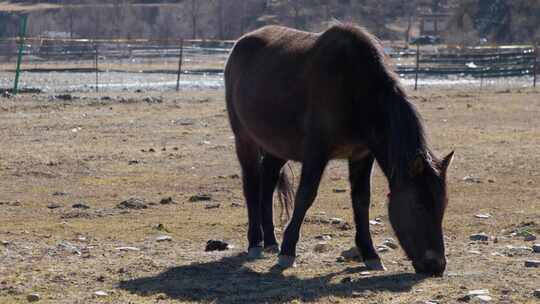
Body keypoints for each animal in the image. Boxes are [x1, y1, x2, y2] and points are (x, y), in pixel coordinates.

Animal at [223, 23, 452, 276]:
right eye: (418, 205)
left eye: (443, 205)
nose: (436, 265)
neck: (354, 89)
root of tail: (240, 44)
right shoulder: (316, 153)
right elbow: (305, 196)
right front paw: (288, 251)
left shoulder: (362, 155)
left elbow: (361, 200)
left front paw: (370, 254)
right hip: (245, 139)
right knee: (252, 185)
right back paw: (255, 242)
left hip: (276, 147)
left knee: (268, 182)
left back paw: (271, 241)